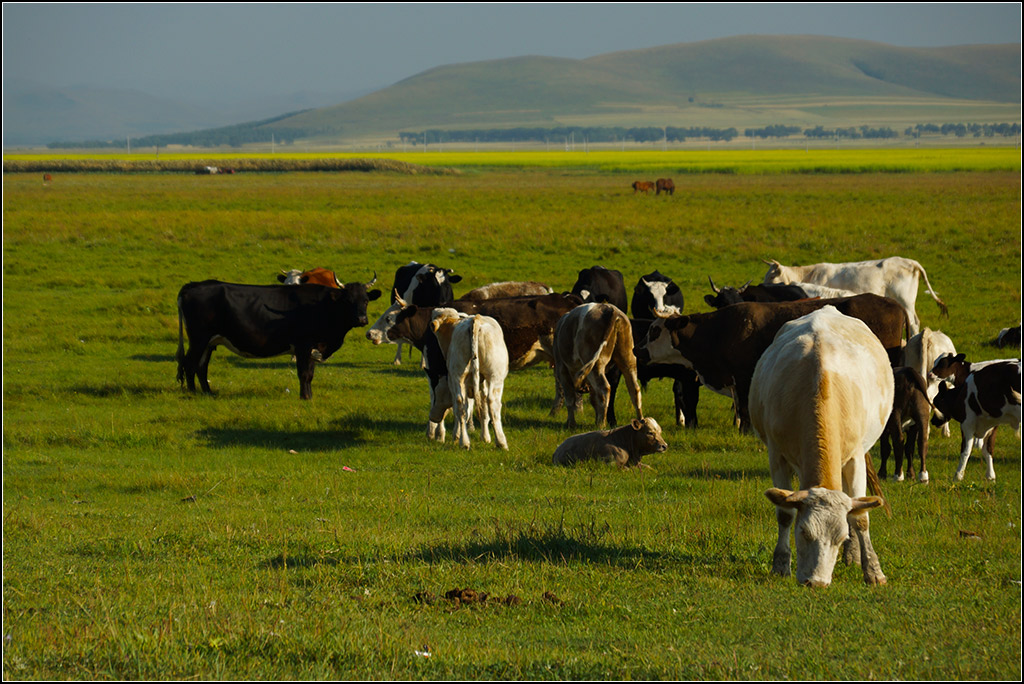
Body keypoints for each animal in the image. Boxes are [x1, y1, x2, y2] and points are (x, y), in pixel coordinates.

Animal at [176, 274, 385, 397]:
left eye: (366, 300)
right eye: (348, 300)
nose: (362, 319)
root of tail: (193, 285)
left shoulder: (313, 348)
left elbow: (310, 374)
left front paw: (309, 396)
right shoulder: (303, 345)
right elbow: (304, 373)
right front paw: (305, 398)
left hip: (209, 342)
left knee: (201, 366)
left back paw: (208, 393)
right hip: (199, 339)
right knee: (190, 364)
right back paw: (192, 393)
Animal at [430, 309, 509, 448]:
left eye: (438, 395)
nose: (432, 417)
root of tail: (475, 320)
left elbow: (475, 409)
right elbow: (482, 408)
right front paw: (485, 437)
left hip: (459, 375)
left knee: (461, 404)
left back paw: (464, 442)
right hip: (495, 376)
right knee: (492, 403)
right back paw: (501, 442)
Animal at [634, 294, 909, 432]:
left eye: (654, 331)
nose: (637, 350)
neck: (717, 331)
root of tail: (895, 304)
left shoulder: (743, 377)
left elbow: (743, 410)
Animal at [749, 305, 892, 589]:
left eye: (839, 538)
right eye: (803, 532)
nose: (816, 582)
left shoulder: (855, 457)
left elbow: (859, 517)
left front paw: (872, 569)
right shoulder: (776, 455)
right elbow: (785, 514)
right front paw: (780, 565)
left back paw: (853, 556)